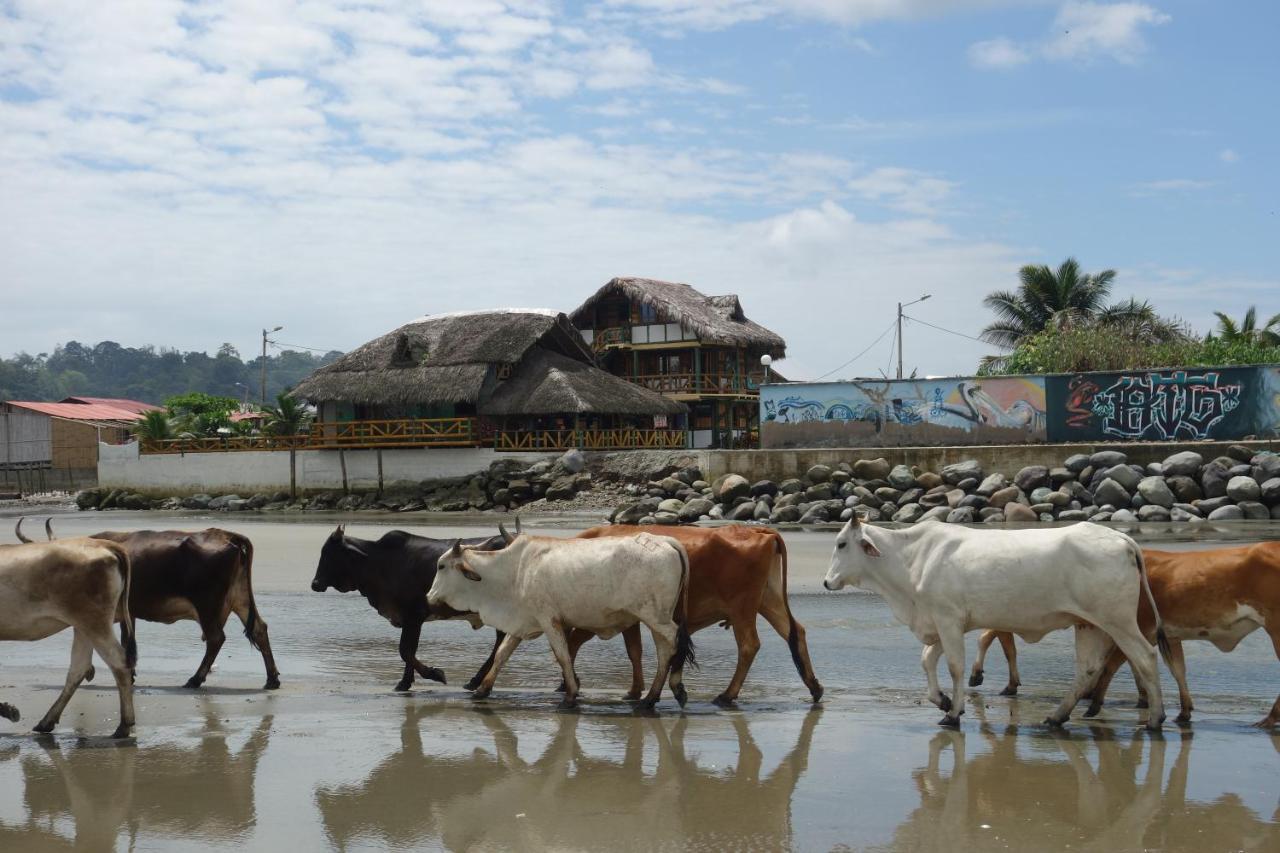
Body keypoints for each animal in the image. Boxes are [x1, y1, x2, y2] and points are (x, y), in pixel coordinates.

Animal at [309, 517, 509, 691]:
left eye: (329, 553)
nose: (315, 584)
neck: (378, 562)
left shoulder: (414, 615)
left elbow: (405, 650)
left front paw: (435, 674)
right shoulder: (410, 619)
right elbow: (410, 651)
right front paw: (405, 682)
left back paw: (475, 681)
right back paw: (475, 681)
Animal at [430, 527, 696, 706]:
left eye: (441, 566)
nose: (428, 596)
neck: (514, 571)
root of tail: (665, 540)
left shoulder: (549, 619)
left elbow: (563, 656)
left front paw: (570, 695)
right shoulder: (523, 621)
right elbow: (502, 654)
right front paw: (482, 690)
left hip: (656, 616)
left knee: (675, 641)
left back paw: (670, 690)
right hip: (656, 617)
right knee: (665, 649)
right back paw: (653, 696)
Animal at [563, 525, 829, 701]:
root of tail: (758, 531)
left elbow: (621, 649)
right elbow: (633, 650)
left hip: (743, 608)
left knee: (749, 645)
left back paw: (727, 694)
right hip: (768, 600)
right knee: (795, 632)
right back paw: (814, 687)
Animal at [819, 514, 1172, 727]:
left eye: (841, 543)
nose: (825, 582)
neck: (911, 560)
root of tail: (1122, 540)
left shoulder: (947, 620)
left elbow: (954, 667)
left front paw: (953, 712)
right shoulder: (943, 624)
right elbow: (927, 660)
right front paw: (941, 700)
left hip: (1118, 621)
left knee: (1144, 656)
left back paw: (1155, 718)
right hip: (1088, 623)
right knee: (1087, 669)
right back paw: (1057, 717)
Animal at [967, 540, 1280, 727]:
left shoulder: (1131, 628)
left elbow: (1117, 664)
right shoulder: (1165, 635)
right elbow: (1174, 669)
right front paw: (1179, 710)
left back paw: (1268, 719)